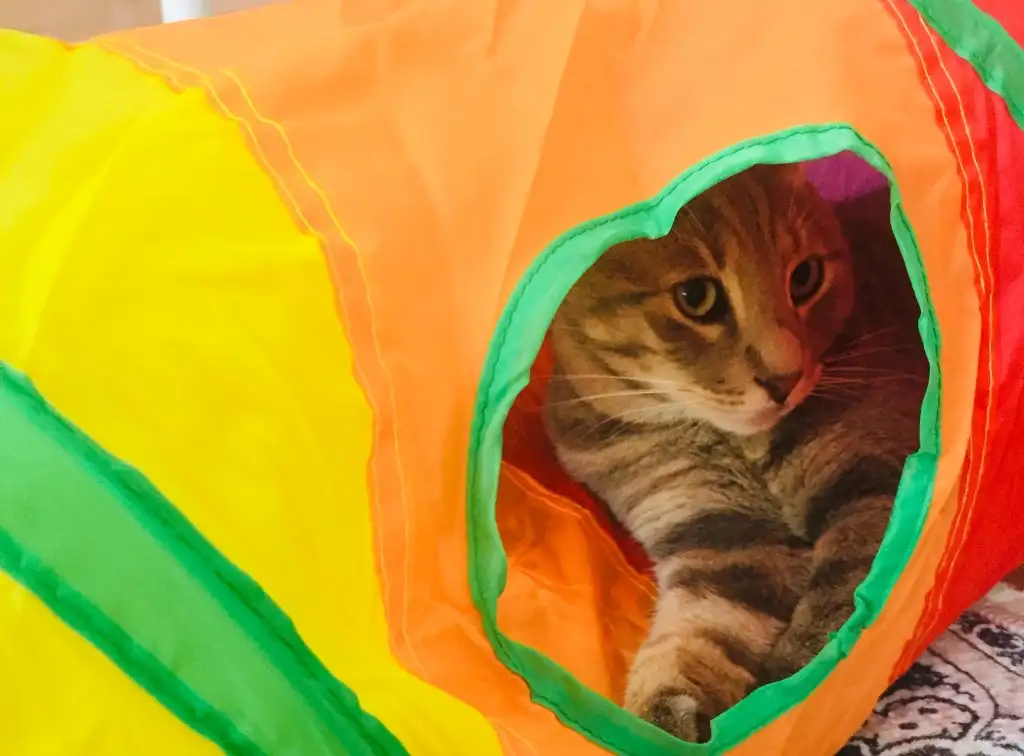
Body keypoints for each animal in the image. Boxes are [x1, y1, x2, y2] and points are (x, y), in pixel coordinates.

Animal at [544, 163, 927, 742]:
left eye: (805, 278)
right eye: (696, 297)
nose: (786, 379)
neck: (729, 443)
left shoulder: (871, 486)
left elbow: (837, 612)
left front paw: (786, 694)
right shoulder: (717, 537)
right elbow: (698, 631)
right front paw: (664, 721)